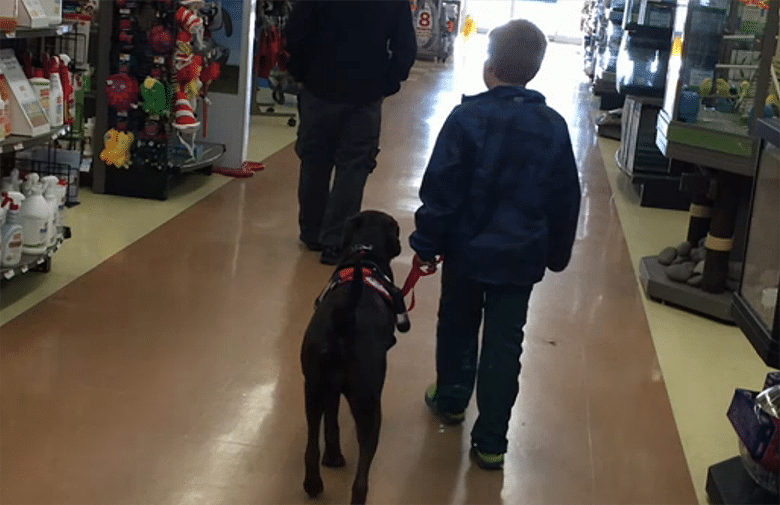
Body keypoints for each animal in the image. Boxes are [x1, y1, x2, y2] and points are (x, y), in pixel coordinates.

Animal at [300, 211, 412, 502]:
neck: (365, 251)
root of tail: (345, 317)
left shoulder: (329, 389)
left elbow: (331, 423)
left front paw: (333, 457)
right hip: (369, 405)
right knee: (361, 478)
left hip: (313, 388)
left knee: (311, 446)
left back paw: (313, 484)